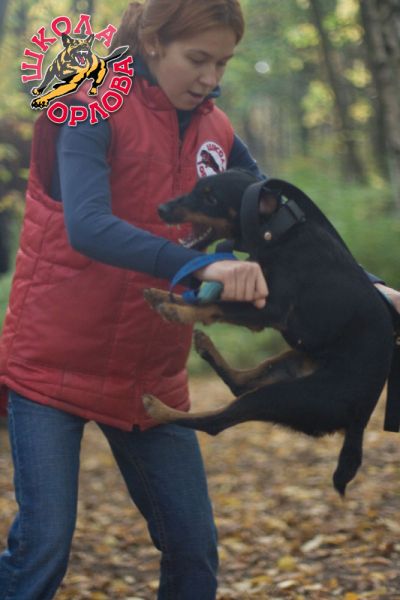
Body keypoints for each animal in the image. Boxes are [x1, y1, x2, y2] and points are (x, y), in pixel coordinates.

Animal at [143, 169, 395, 495]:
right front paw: (163, 296)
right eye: (196, 188)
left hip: (286, 397)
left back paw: (159, 408)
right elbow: (208, 300)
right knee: (240, 383)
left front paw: (176, 311)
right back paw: (205, 347)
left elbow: (215, 305)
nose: (161, 209)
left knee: (215, 421)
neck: (278, 234)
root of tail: (360, 420)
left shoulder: (270, 309)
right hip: (289, 364)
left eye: (211, 198)